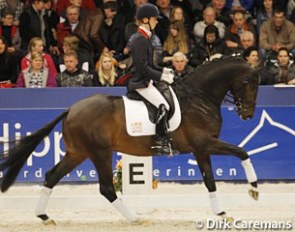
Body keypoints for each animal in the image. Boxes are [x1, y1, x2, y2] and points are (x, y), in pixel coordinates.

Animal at [0, 55, 260, 223]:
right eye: (250, 84)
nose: (247, 114)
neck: (200, 97)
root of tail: (71, 109)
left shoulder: (203, 148)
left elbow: (225, 167)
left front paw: (237, 203)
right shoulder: (203, 144)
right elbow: (233, 161)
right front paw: (246, 196)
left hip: (78, 153)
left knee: (52, 176)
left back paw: (44, 217)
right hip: (100, 153)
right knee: (106, 188)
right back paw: (136, 218)